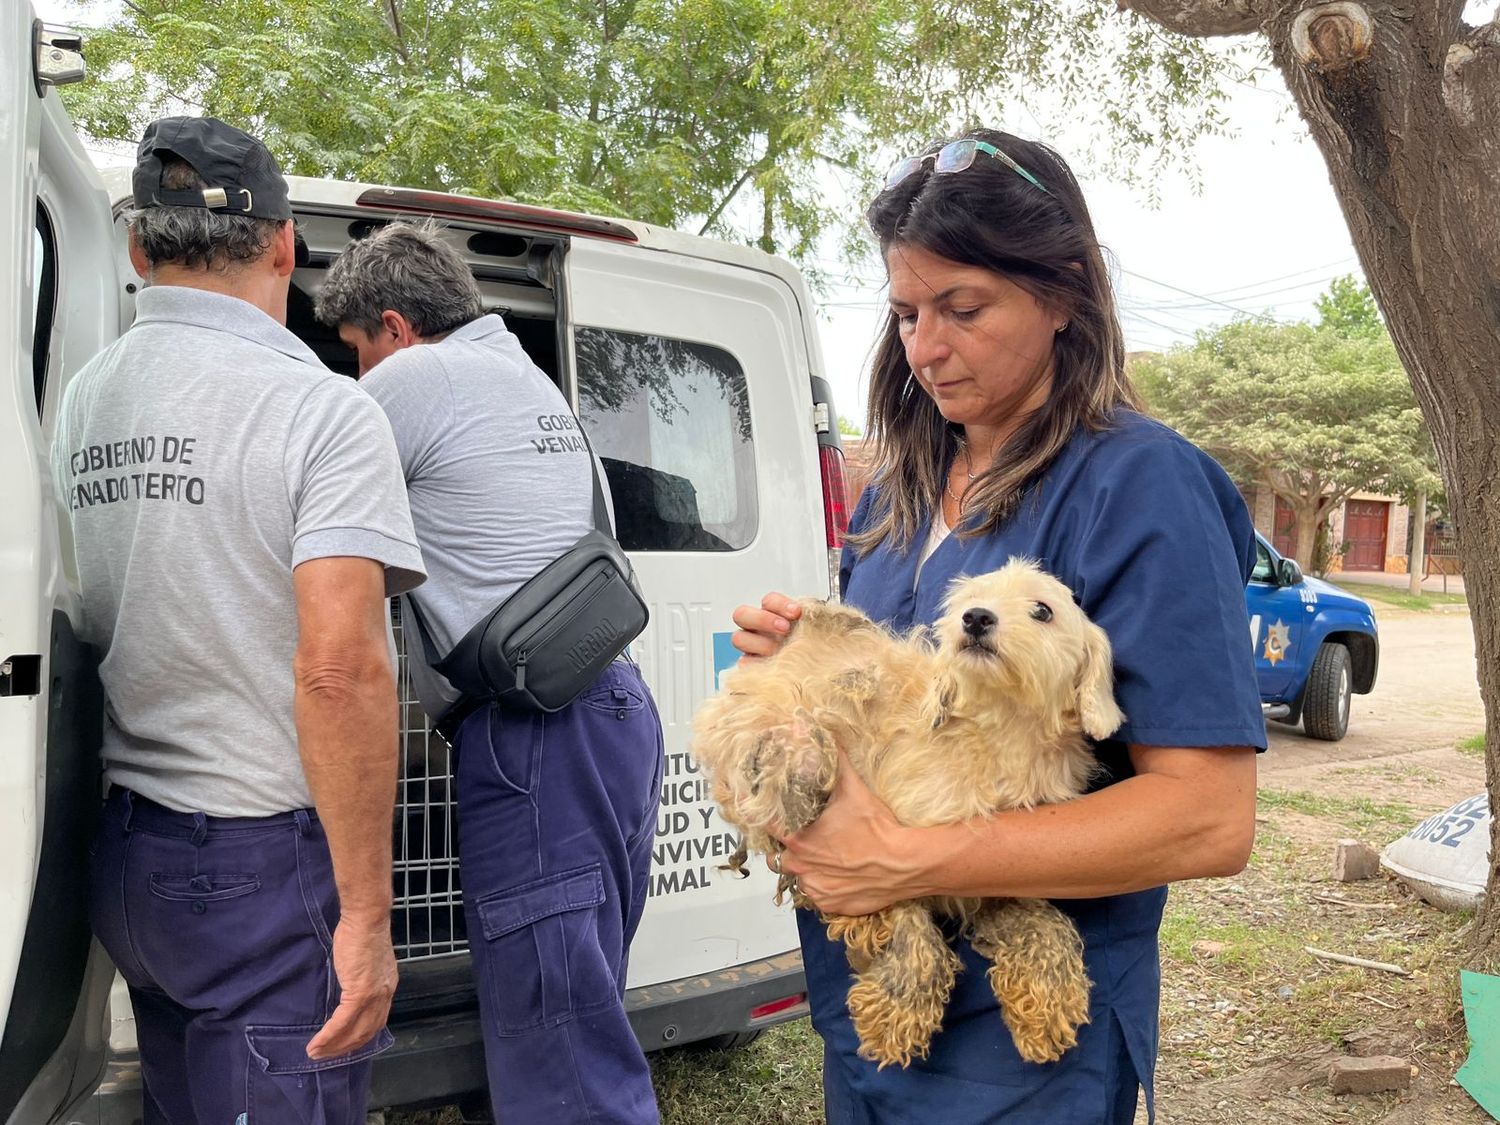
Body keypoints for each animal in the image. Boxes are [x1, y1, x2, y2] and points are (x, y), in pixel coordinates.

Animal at [690, 561, 1128, 1068]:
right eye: (968, 601)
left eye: (1043, 610)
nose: (976, 618)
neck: (998, 738)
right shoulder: (884, 860)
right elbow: (913, 935)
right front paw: (898, 1010)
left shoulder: (993, 876)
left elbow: (1046, 925)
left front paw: (1049, 1002)